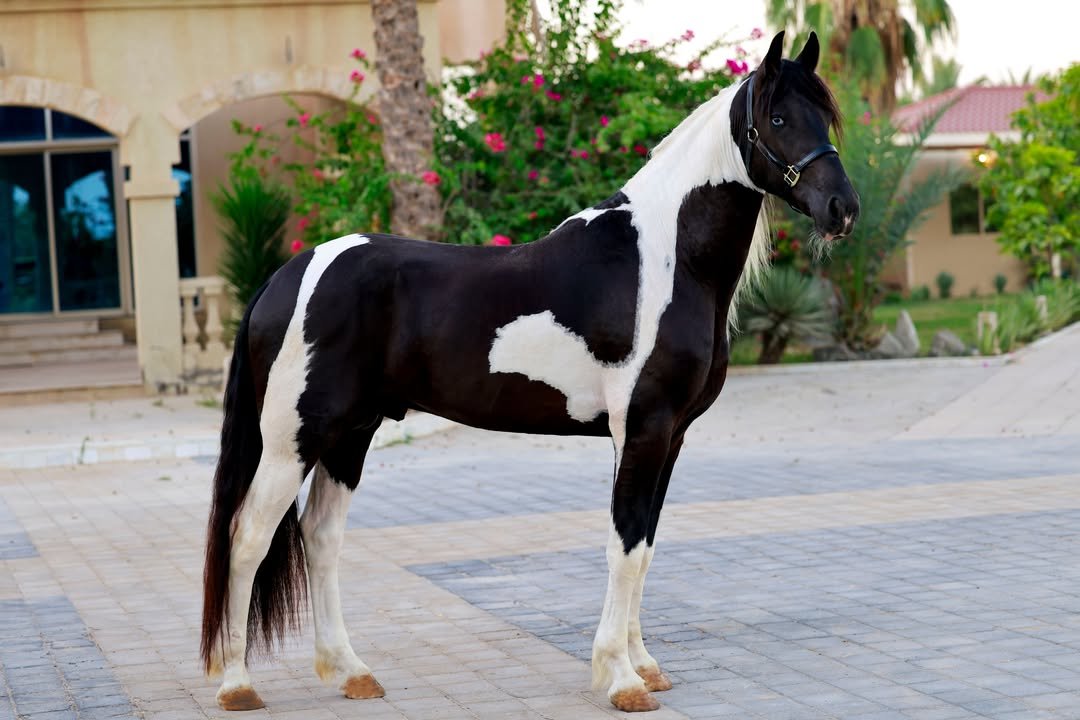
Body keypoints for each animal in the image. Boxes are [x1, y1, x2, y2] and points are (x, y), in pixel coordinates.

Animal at [201, 30, 859, 714]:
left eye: (825, 116)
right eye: (778, 119)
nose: (843, 208)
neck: (664, 261)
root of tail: (285, 277)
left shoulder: (670, 435)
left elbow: (645, 547)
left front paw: (644, 666)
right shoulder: (641, 429)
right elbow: (623, 546)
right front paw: (620, 678)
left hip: (348, 435)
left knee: (320, 536)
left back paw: (351, 672)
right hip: (292, 441)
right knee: (248, 536)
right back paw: (238, 685)